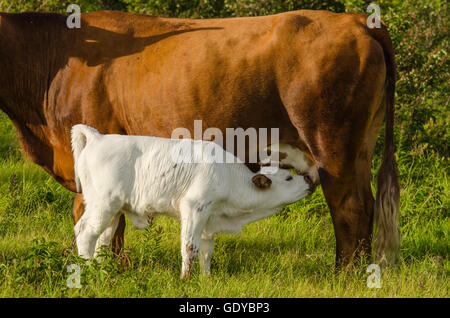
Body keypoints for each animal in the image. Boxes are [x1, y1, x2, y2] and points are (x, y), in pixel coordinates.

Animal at [71, 124, 312, 278]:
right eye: (288, 178)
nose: (309, 179)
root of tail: (98, 137)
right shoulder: (194, 208)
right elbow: (189, 247)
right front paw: (185, 280)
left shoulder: (209, 219)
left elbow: (206, 251)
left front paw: (207, 279)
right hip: (103, 204)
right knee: (85, 233)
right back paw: (89, 270)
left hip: (113, 211)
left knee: (102, 241)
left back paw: (103, 270)